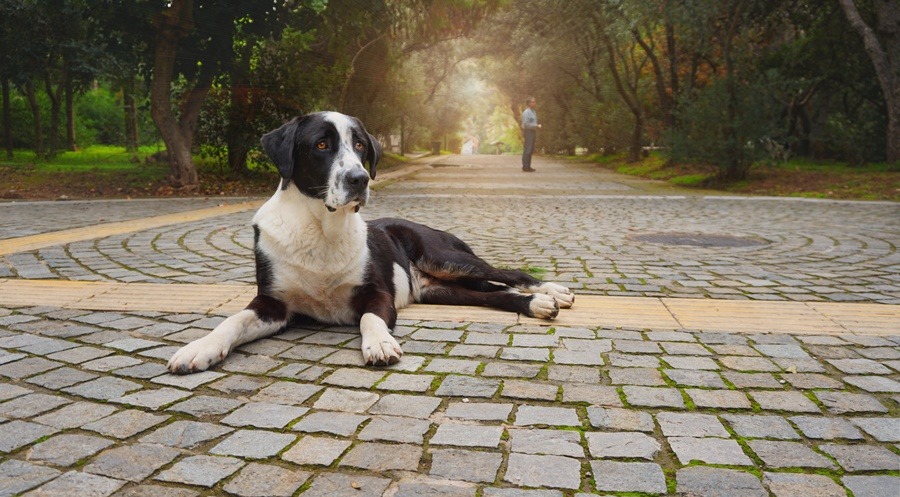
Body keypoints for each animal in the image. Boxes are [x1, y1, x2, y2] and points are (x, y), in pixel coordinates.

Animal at [168, 109, 572, 372]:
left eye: (360, 145)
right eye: (320, 145)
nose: (360, 179)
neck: (321, 228)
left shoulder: (377, 293)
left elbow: (368, 317)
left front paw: (378, 343)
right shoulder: (273, 304)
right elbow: (233, 321)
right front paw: (199, 348)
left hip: (443, 257)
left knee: (509, 273)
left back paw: (552, 291)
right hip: (443, 289)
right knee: (494, 294)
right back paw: (536, 304)